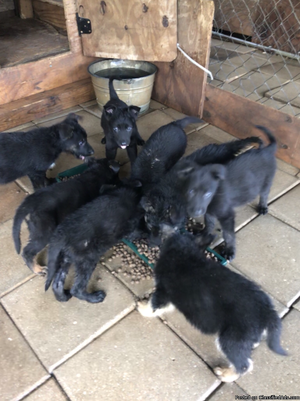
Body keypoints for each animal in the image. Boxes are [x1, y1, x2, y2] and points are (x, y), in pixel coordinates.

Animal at [138, 230, 286, 380]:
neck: (184, 252)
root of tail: (267, 311)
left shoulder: (163, 292)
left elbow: (153, 305)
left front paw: (142, 308)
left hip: (230, 339)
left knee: (244, 365)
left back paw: (225, 374)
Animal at [177, 126, 278, 260]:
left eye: (207, 194)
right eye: (191, 191)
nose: (196, 212)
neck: (214, 196)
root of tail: (267, 150)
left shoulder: (227, 216)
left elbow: (228, 234)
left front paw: (229, 250)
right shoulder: (209, 211)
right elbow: (209, 223)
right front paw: (203, 232)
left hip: (266, 182)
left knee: (264, 194)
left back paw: (263, 207)